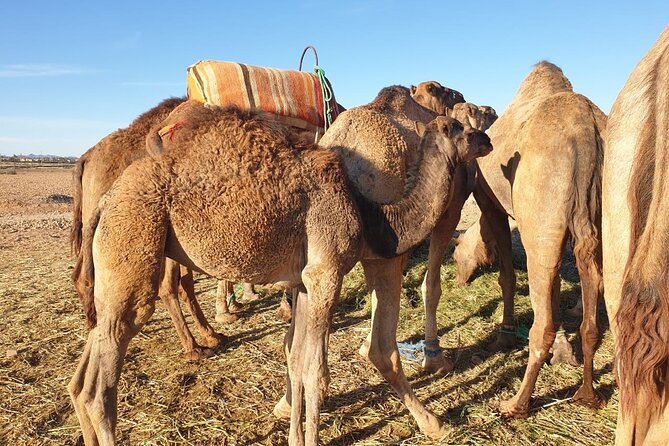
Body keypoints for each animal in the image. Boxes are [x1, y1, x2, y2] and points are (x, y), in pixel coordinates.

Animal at [68, 96, 492, 445]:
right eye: (461, 126)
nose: (486, 140)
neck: (369, 213)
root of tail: (104, 201)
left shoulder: (305, 283)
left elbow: (297, 360)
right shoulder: (327, 273)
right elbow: (315, 371)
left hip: (114, 274)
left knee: (83, 372)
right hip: (133, 242)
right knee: (99, 386)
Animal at [442, 62, 606, 418]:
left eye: (457, 255)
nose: (459, 281)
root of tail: (585, 135)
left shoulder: (490, 202)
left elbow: (506, 274)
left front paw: (504, 337)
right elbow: (555, 287)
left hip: (540, 217)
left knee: (541, 325)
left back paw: (516, 403)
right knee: (592, 315)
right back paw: (588, 395)